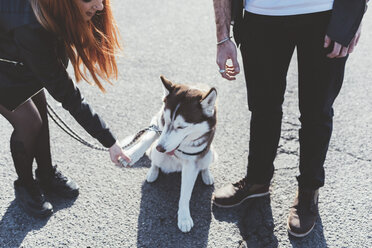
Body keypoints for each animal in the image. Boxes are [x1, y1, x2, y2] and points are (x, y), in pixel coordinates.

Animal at [125, 75, 218, 232]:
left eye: (181, 127)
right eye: (167, 120)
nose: (160, 148)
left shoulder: (191, 163)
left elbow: (185, 194)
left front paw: (184, 217)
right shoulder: (158, 121)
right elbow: (151, 134)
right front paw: (133, 153)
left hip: (209, 154)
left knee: (204, 165)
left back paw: (206, 175)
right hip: (157, 154)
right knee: (155, 161)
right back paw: (153, 172)